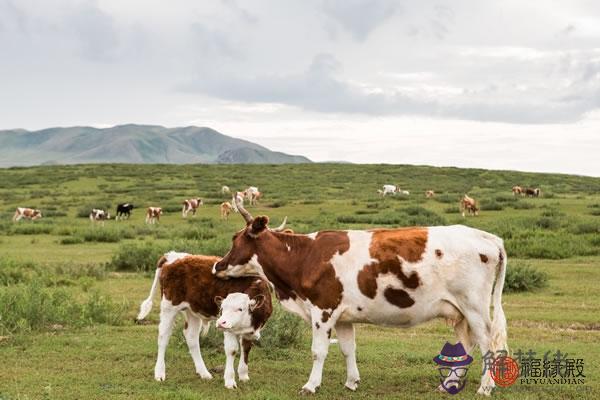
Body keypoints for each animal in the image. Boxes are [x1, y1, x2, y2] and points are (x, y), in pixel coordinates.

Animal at [135, 252, 272, 390]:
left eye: (240, 309)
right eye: (222, 308)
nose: (220, 322)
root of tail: (172, 256)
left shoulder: (250, 331)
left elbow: (246, 348)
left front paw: (244, 375)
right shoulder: (229, 330)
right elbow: (232, 350)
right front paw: (229, 381)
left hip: (192, 311)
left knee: (191, 337)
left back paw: (204, 373)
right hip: (169, 307)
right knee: (163, 337)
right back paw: (159, 373)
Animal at [213, 198, 508, 396]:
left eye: (236, 238)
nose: (217, 265)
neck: (305, 257)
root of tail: (487, 237)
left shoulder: (323, 310)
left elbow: (318, 351)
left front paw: (310, 385)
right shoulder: (344, 317)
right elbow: (347, 349)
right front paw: (352, 382)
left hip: (475, 308)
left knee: (487, 343)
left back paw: (485, 387)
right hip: (460, 312)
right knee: (467, 344)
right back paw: (449, 384)